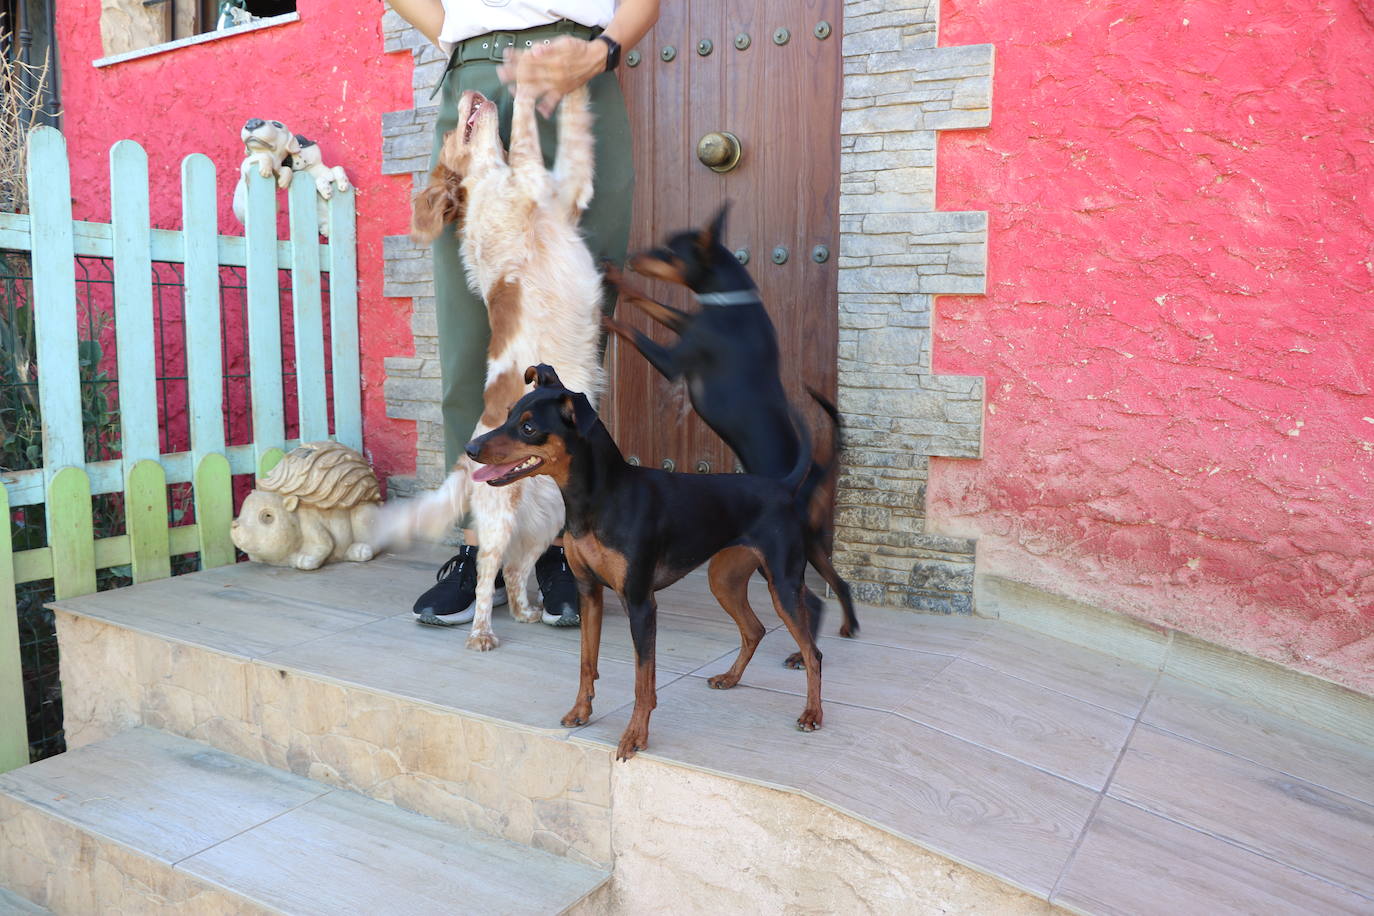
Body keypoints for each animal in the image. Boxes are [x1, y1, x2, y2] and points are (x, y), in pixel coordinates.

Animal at [370, 82, 601, 648]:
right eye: (454, 127)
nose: (474, 89)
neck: (489, 181)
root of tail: (471, 450)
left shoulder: (564, 188)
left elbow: (571, 132)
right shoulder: (537, 180)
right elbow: (526, 135)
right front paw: (532, 79)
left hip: (548, 517)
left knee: (517, 571)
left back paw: (528, 613)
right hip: (499, 520)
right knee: (485, 573)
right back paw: (480, 634)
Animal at [461, 362, 824, 758]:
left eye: (528, 428)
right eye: (509, 414)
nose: (470, 448)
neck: (601, 499)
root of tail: (783, 486)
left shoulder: (639, 603)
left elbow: (642, 680)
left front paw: (635, 735)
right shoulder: (589, 592)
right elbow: (586, 662)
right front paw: (581, 710)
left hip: (782, 584)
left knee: (813, 653)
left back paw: (812, 714)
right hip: (724, 580)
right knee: (754, 629)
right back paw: (730, 677)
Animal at [604, 204, 857, 661]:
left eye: (669, 251)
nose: (632, 256)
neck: (729, 302)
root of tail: (816, 470)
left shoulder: (672, 360)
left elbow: (631, 330)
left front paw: (603, 315)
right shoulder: (687, 320)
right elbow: (654, 303)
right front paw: (621, 283)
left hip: (779, 550)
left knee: (809, 601)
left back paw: (803, 654)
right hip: (808, 540)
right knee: (837, 582)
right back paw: (848, 625)